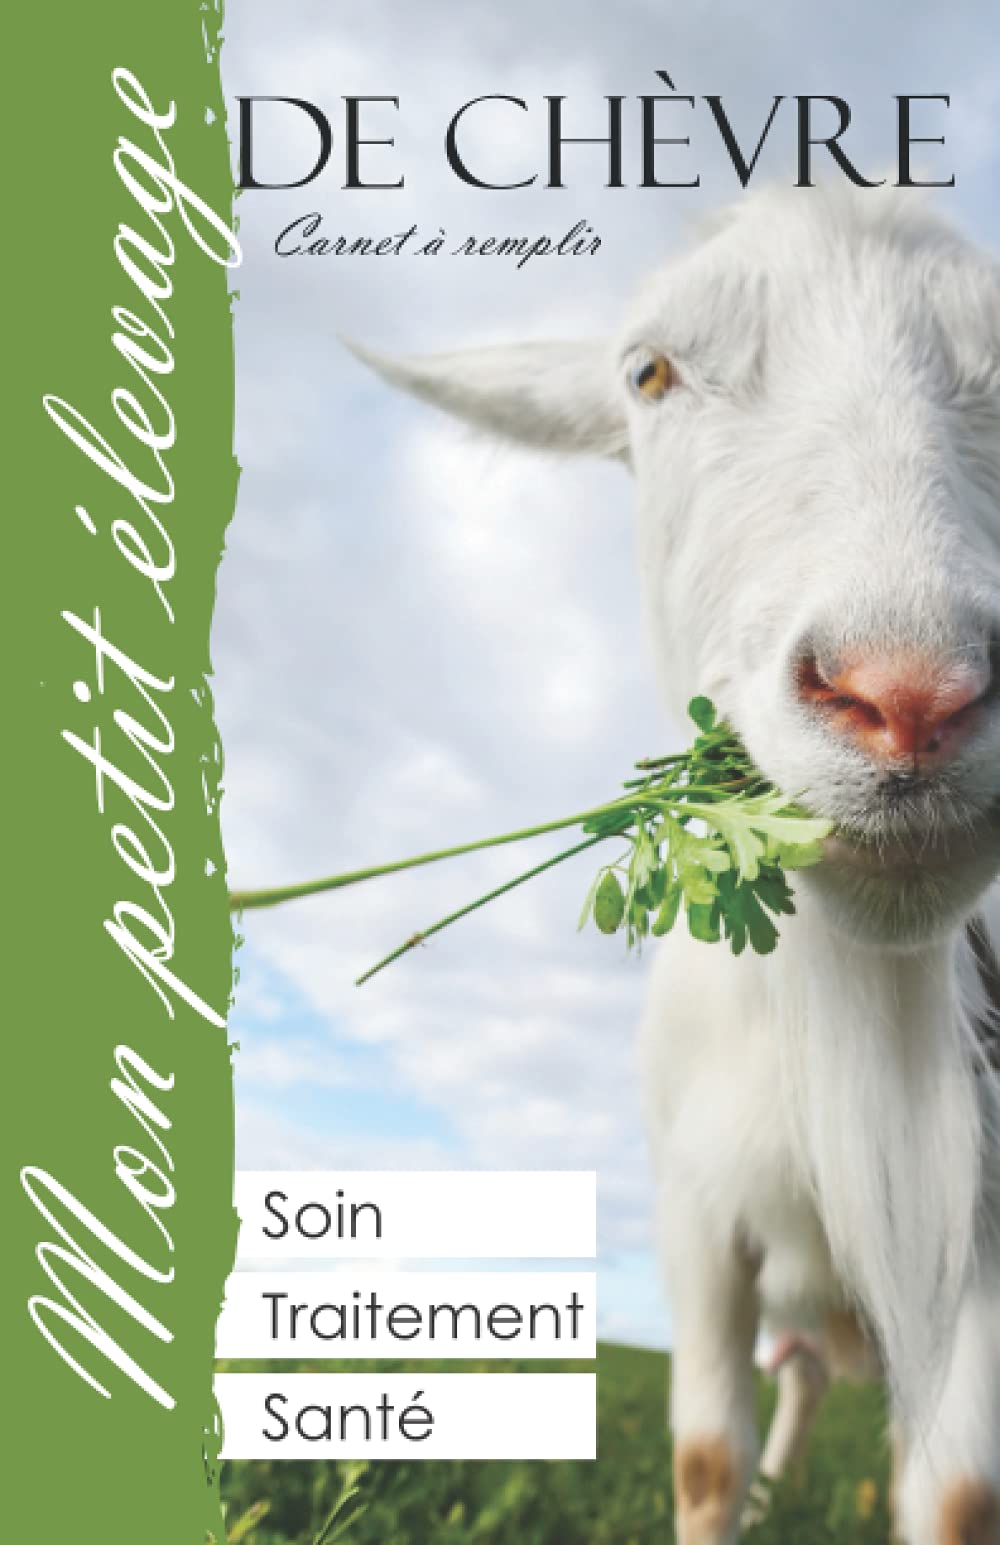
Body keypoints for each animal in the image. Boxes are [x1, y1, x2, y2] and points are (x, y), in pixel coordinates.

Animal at [348, 186, 1000, 1545]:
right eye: (647, 374)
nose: (909, 697)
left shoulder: (981, 1219)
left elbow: (955, 1491)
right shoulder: (696, 1213)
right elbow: (702, 1456)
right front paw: (729, 1496)